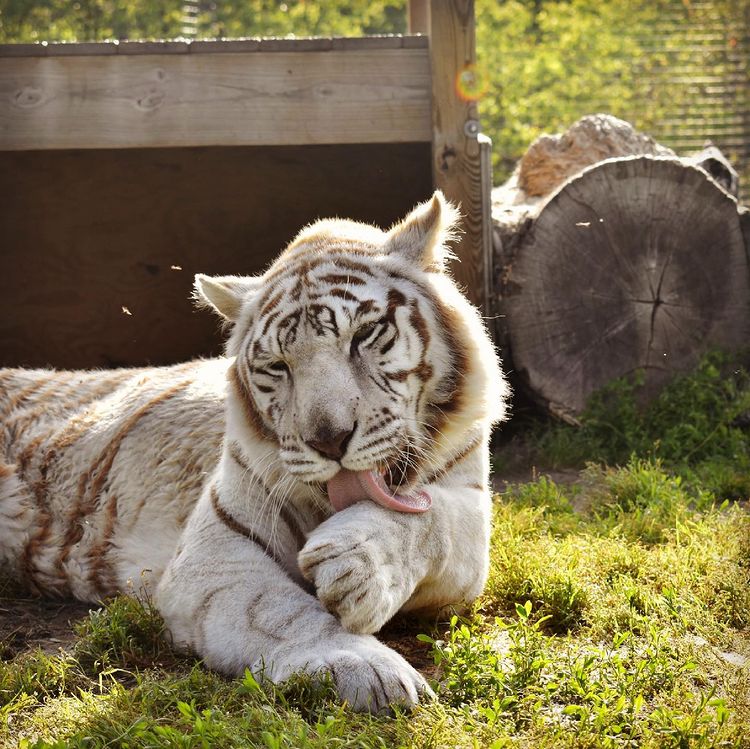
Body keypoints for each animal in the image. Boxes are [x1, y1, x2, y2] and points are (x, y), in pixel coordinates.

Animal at [0, 191, 512, 708]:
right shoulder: (216, 554)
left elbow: (430, 519)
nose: (328, 439)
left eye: (363, 336)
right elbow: (281, 612)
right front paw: (366, 666)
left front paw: (357, 563)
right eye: (277, 365)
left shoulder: (470, 512)